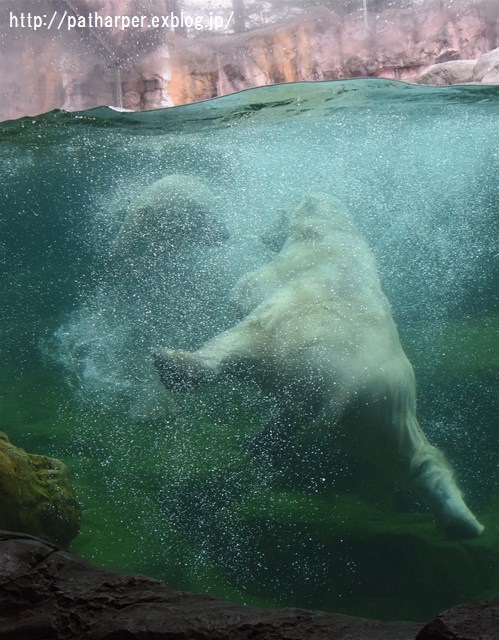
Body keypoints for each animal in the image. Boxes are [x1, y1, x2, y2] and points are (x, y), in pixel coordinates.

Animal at [154, 192, 486, 536]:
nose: (264, 234)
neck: (336, 231)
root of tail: (347, 387)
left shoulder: (297, 261)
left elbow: (249, 287)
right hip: (385, 408)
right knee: (412, 455)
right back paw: (462, 520)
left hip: (295, 335)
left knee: (244, 343)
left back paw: (174, 365)